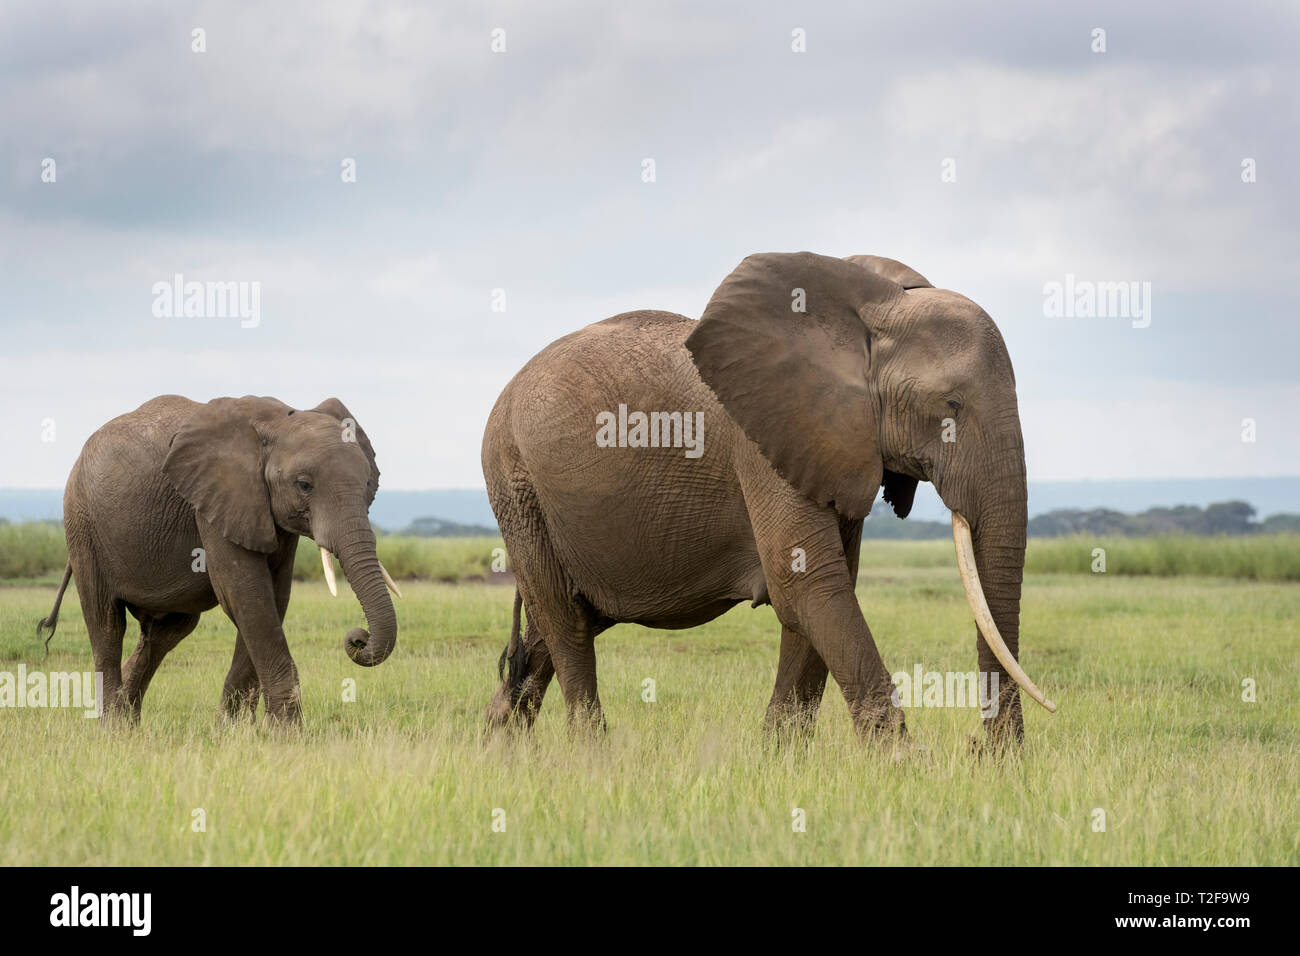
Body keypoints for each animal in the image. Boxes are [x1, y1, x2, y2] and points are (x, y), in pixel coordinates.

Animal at [36, 395, 400, 724]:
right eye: (304, 485)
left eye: (368, 484)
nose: (358, 637)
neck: (275, 423)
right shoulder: (215, 500)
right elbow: (246, 595)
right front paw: (286, 733)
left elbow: (273, 598)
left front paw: (234, 730)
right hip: (82, 525)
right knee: (107, 622)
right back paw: (114, 728)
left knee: (166, 632)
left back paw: (130, 722)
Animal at [483, 251, 1054, 747]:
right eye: (950, 406)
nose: (983, 752)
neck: (866, 312)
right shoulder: (763, 442)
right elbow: (808, 582)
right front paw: (903, 767)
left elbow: (821, 589)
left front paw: (781, 758)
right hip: (515, 482)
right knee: (567, 623)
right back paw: (590, 755)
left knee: (553, 626)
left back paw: (499, 747)